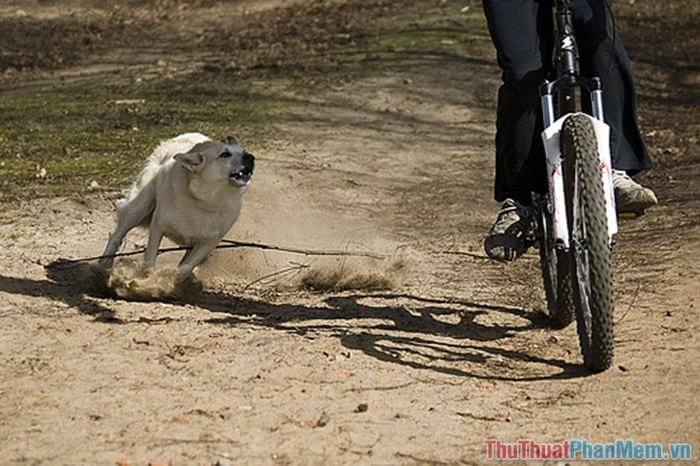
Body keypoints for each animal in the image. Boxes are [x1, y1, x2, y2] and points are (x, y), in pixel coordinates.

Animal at [97, 132, 253, 276]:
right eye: (225, 154)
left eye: (244, 151)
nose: (250, 157)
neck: (204, 201)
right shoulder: (157, 226)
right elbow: (150, 259)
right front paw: (147, 279)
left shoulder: (208, 243)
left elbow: (185, 267)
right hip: (140, 206)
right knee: (116, 235)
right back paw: (105, 263)